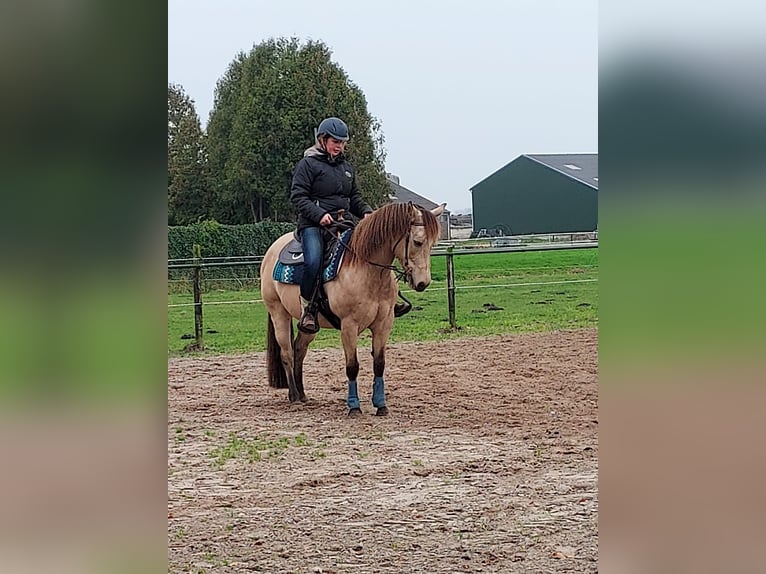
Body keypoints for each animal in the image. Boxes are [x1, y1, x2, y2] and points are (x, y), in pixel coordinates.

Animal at [260, 201, 445, 416]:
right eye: (417, 242)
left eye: (432, 244)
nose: (423, 283)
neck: (366, 269)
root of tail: (271, 252)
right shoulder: (349, 326)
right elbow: (352, 366)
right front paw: (354, 406)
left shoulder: (384, 324)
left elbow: (379, 363)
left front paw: (381, 405)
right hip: (278, 313)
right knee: (287, 353)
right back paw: (294, 396)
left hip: (309, 325)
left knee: (299, 349)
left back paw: (302, 394)